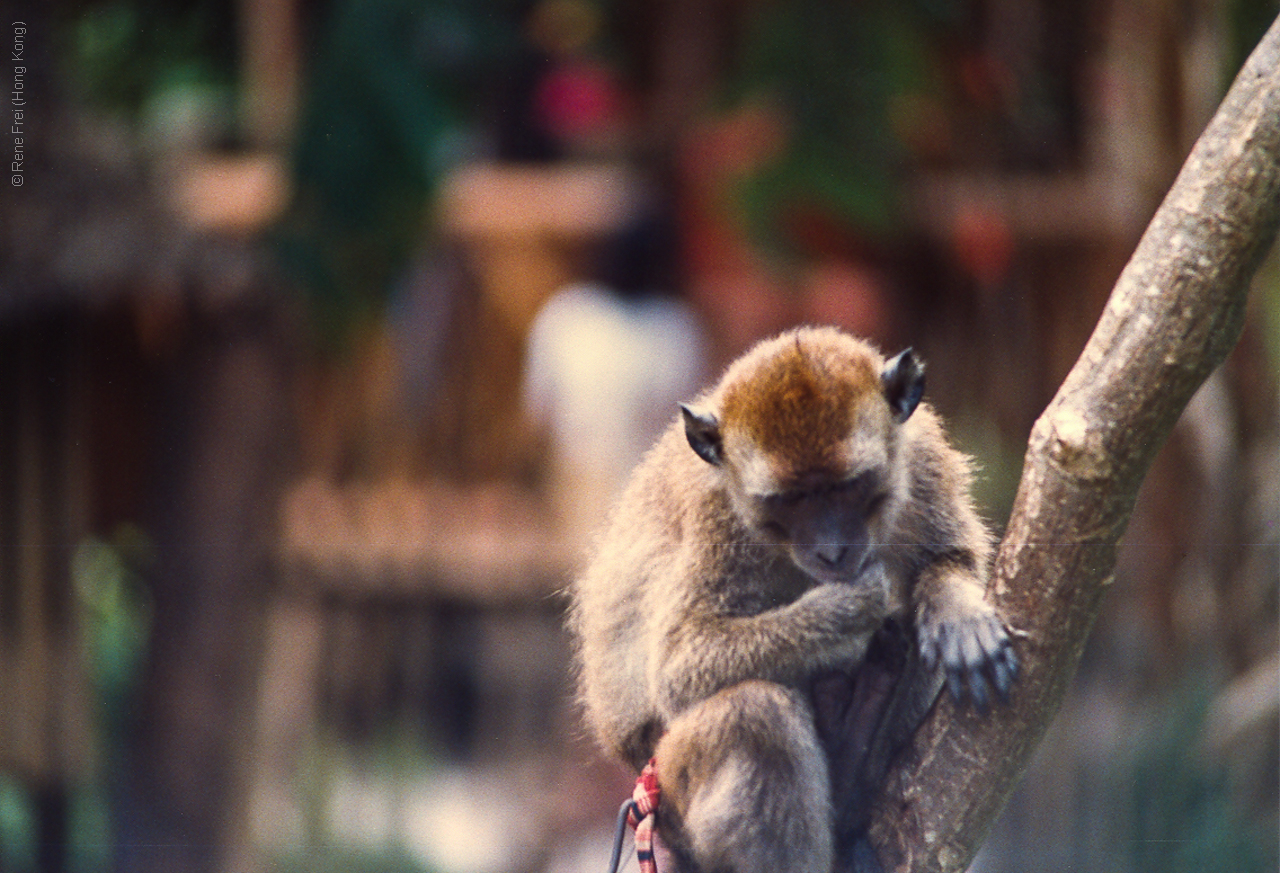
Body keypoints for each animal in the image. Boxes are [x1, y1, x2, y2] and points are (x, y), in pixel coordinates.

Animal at [570, 326, 1018, 870]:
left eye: (849, 486)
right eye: (789, 500)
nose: (832, 550)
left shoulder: (924, 455)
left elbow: (949, 558)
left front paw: (958, 614)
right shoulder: (717, 517)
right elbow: (679, 665)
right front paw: (848, 607)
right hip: (667, 791)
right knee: (754, 716)